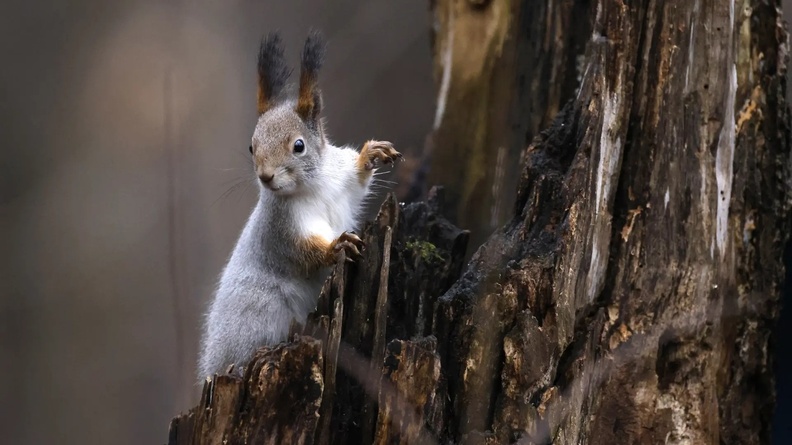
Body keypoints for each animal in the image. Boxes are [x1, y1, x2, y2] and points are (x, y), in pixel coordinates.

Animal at [197, 31, 402, 379]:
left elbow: (358, 183)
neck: (312, 187)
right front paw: (336, 246)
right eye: (251, 147)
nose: (265, 177)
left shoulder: (342, 182)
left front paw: (371, 154)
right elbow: (302, 252)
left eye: (298, 145)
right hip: (259, 313)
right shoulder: (281, 229)